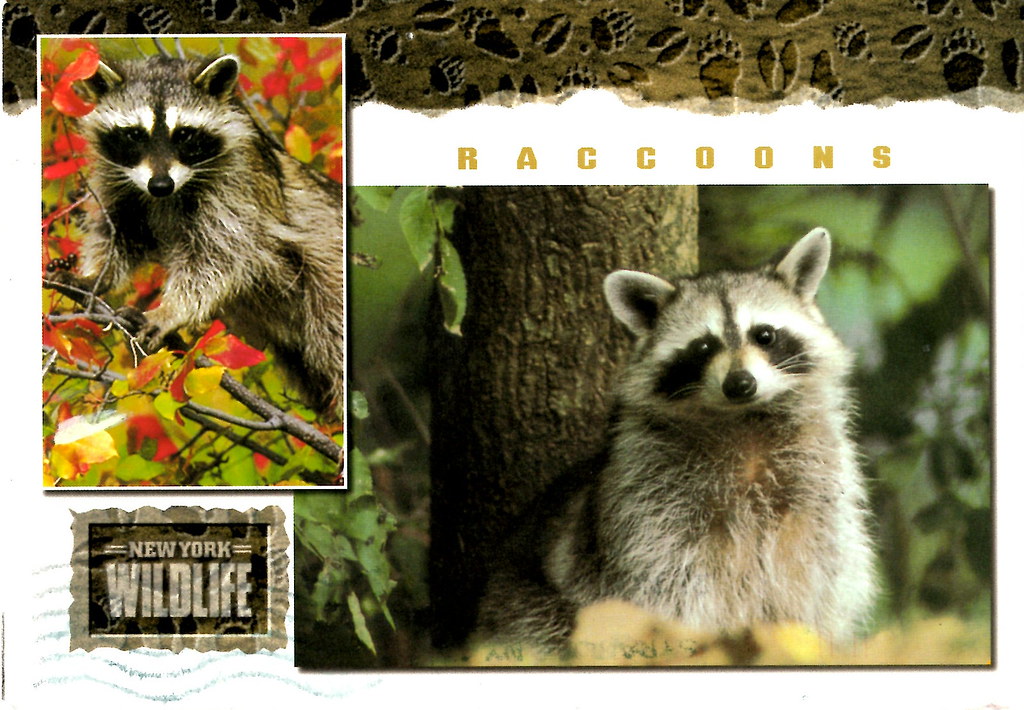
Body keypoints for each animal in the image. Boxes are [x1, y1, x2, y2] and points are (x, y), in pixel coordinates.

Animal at [71, 54, 345, 415]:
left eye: (185, 135)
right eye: (134, 135)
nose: (161, 184)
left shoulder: (236, 190)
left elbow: (218, 259)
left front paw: (169, 310)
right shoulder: (118, 181)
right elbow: (119, 234)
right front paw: (95, 276)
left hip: (329, 280)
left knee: (333, 340)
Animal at [476, 228, 876, 652]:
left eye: (764, 334)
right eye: (703, 347)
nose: (740, 383)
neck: (742, 419)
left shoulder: (816, 481)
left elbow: (818, 569)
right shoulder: (650, 497)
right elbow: (665, 579)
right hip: (526, 603)